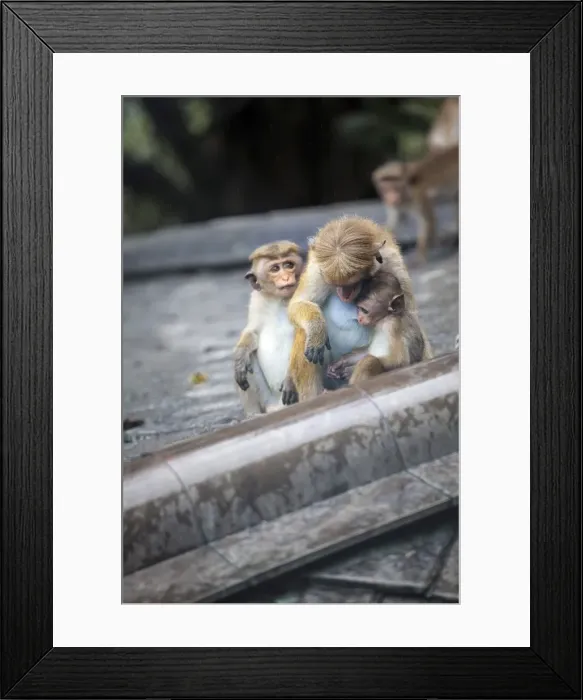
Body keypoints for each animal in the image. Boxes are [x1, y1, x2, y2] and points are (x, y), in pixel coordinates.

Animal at [284, 215, 431, 403]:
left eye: (353, 282)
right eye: (336, 284)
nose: (344, 294)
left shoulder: (391, 262)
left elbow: (409, 316)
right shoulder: (318, 270)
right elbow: (299, 303)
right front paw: (316, 331)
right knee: (304, 330)